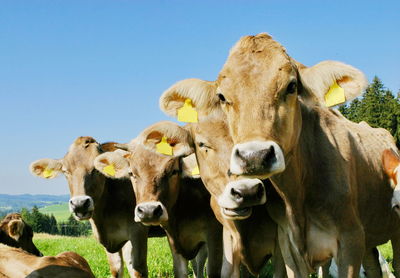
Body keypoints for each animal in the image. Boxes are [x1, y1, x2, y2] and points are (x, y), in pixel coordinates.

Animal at [29, 137, 166, 278]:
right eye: (66, 171)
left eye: (95, 170)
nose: (79, 204)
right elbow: (116, 269)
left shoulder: (137, 231)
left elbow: (137, 270)